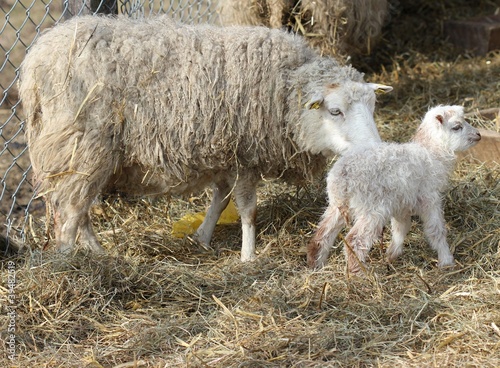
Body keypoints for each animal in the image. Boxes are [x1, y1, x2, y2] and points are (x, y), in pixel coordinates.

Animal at [18, 15, 390, 262]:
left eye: (372, 107)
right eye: (335, 111)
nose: (375, 151)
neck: (284, 89)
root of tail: (34, 62)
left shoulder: (226, 155)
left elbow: (220, 200)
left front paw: (203, 237)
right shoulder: (245, 154)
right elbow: (247, 209)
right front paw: (248, 256)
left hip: (82, 155)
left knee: (77, 209)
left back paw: (100, 254)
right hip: (81, 146)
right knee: (70, 214)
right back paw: (73, 264)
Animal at [306, 104, 482, 274]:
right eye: (457, 127)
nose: (478, 135)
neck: (431, 152)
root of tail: (343, 175)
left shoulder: (401, 202)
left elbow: (400, 228)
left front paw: (392, 254)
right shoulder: (429, 197)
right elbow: (436, 230)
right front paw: (446, 261)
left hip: (338, 205)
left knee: (321, 235)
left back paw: (316, 264)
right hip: (372, 208)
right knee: (355, 240)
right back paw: (361, 274)